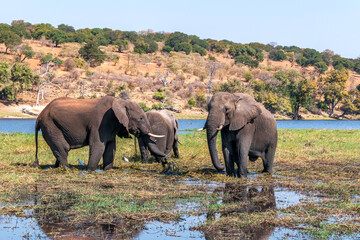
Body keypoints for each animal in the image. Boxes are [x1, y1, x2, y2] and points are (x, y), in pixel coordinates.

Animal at [33, 95, 165, 171]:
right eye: (141, 118)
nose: (165, 162)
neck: (120, 102)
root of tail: (39, 116)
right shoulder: (100, 123)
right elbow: (99, 146)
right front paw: (90, 171)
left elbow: (111, 147)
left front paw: (107, 170)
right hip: (50, 125)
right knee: (62, 148)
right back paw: (67, 169)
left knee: (60, 149)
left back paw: (57, 167)